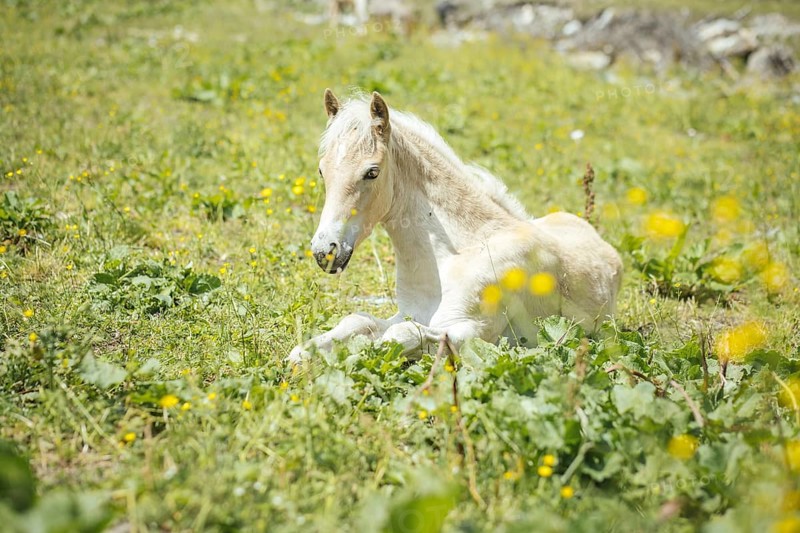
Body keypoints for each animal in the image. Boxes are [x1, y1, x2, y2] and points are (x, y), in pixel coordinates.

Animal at [288, 90, 623, 363]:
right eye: (322, 170)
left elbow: (398, 336)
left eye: (372, 172)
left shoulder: (476, 332)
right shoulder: (408, 313)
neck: (449, 259)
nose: (325, 251)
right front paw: (301, 355)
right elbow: (359, 320)